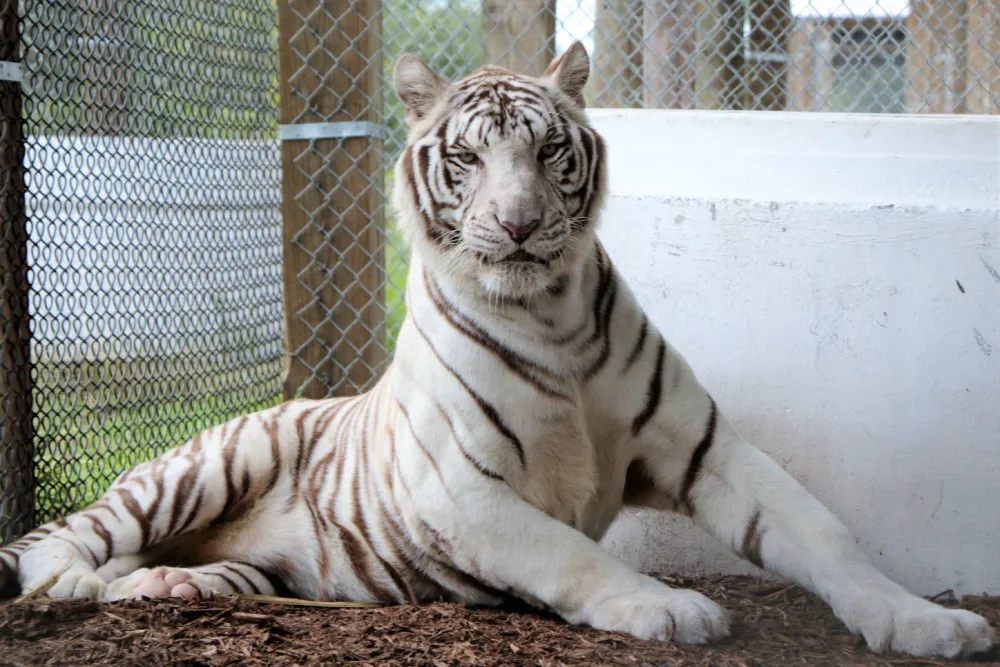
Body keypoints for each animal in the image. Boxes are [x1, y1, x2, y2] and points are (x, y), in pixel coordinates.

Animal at [0, 41, 993, 659]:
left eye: (550, 151)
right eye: (468, 159)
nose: (517, 225)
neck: (551, 317)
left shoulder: (707, 447)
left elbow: (823, 532)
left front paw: (923, 622)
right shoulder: (461, 487)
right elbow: (574, 555)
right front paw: (668, 604)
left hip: (250, 554)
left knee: (163, 563)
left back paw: (165, 586)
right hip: (205, 464)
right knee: (61, 538)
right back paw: (79, 584)